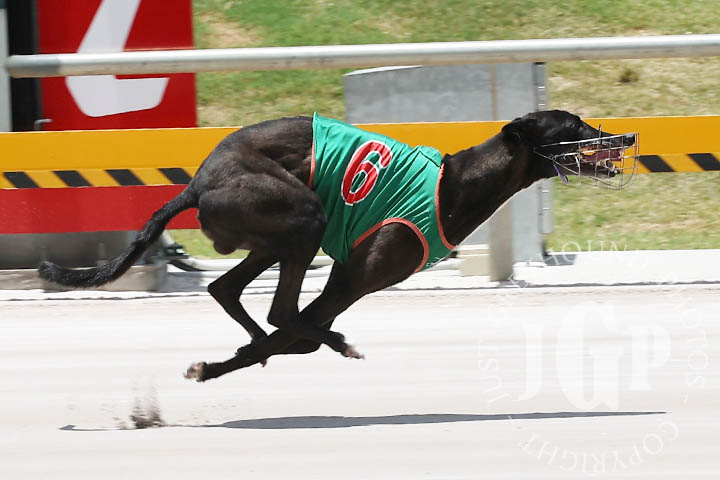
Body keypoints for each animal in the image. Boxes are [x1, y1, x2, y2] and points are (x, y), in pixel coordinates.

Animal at [38, 110, 636, 382]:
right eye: (572, 125)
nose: (626, 136)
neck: (456, 182)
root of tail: (198, 181)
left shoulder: (351, 278)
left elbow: (295, 335)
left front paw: (230, 360)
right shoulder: (354, 276)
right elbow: (299, 328)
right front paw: (228, 362)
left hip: (276, 237)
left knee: (229, 290)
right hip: (301, 216)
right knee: (280, 311)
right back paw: (318, 342)